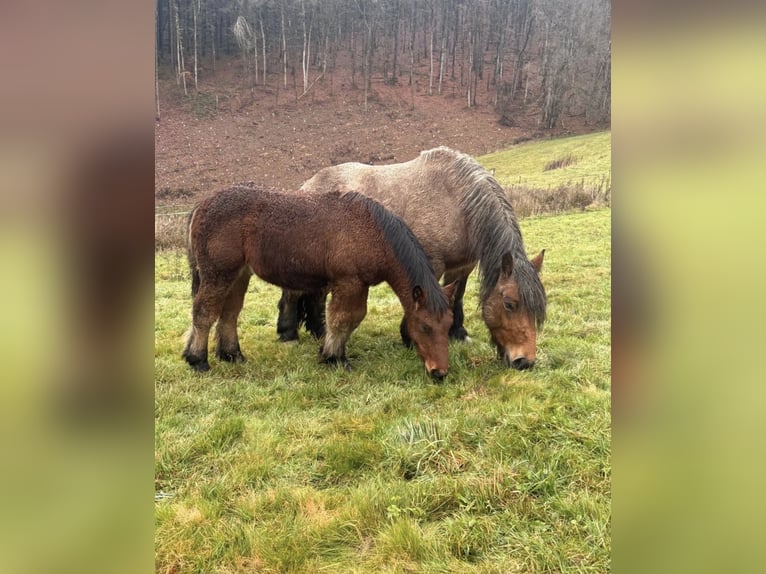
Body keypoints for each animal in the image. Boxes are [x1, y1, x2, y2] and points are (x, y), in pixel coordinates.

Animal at [182, 184, 457, 380]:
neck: (373, 232)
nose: (439, 372)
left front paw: (332, 353)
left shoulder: (358, 286)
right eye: (424, 327)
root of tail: (201, 206)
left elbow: (351, 319)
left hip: (238, 275)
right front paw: (334, 358)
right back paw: (198, 360)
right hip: (218, 275)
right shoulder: (348, 283)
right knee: (204, 313)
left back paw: (232, 355)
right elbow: (342, 320)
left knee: (228, 313)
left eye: (448, 326)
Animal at [277, 146, 546, 370]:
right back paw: (288, 335)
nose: (524, 362)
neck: (455, 200)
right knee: (293, 294)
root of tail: (306, 186)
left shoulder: (462, 266)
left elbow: (457, 296)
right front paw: (409, 337)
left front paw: (458, 332)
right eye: (509, 304)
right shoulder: (430, 264)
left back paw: (320, 332)